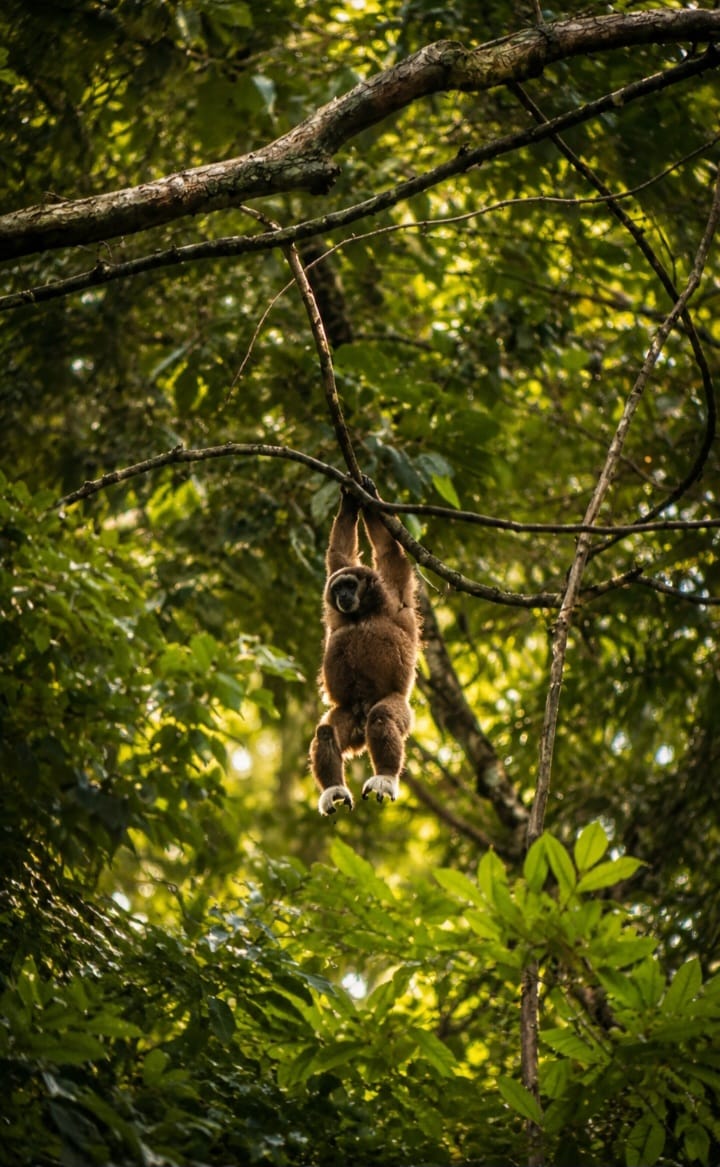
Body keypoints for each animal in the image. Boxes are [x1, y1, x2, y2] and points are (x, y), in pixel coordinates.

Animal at [310, 480, 418, 816]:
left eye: (350, 585)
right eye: (337, 588)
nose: (342, 595)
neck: (362, 614)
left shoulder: (396, 594)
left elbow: (387, 550)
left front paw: (369, 496)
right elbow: (339, 553)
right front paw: (350, 503)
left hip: (397, 705)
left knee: (382, 716)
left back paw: (385, 776)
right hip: (347, 714)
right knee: (326, 732)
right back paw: (334, 788)